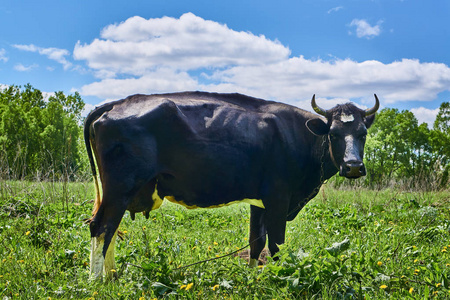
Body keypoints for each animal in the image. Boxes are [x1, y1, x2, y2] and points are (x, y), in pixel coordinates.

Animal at [85, 91, 380, 278]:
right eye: (334, 134)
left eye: (363, 133)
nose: (353, 166)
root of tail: (118, 102)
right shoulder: (278, 198)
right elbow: (277, 245)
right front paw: (280, 278)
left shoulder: (259, 201)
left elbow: (256, 242)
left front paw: (252, 279)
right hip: (119, 189)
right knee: (102, 228)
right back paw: (98, 282)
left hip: (121, 193)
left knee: (109, 230)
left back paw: (111, 276)